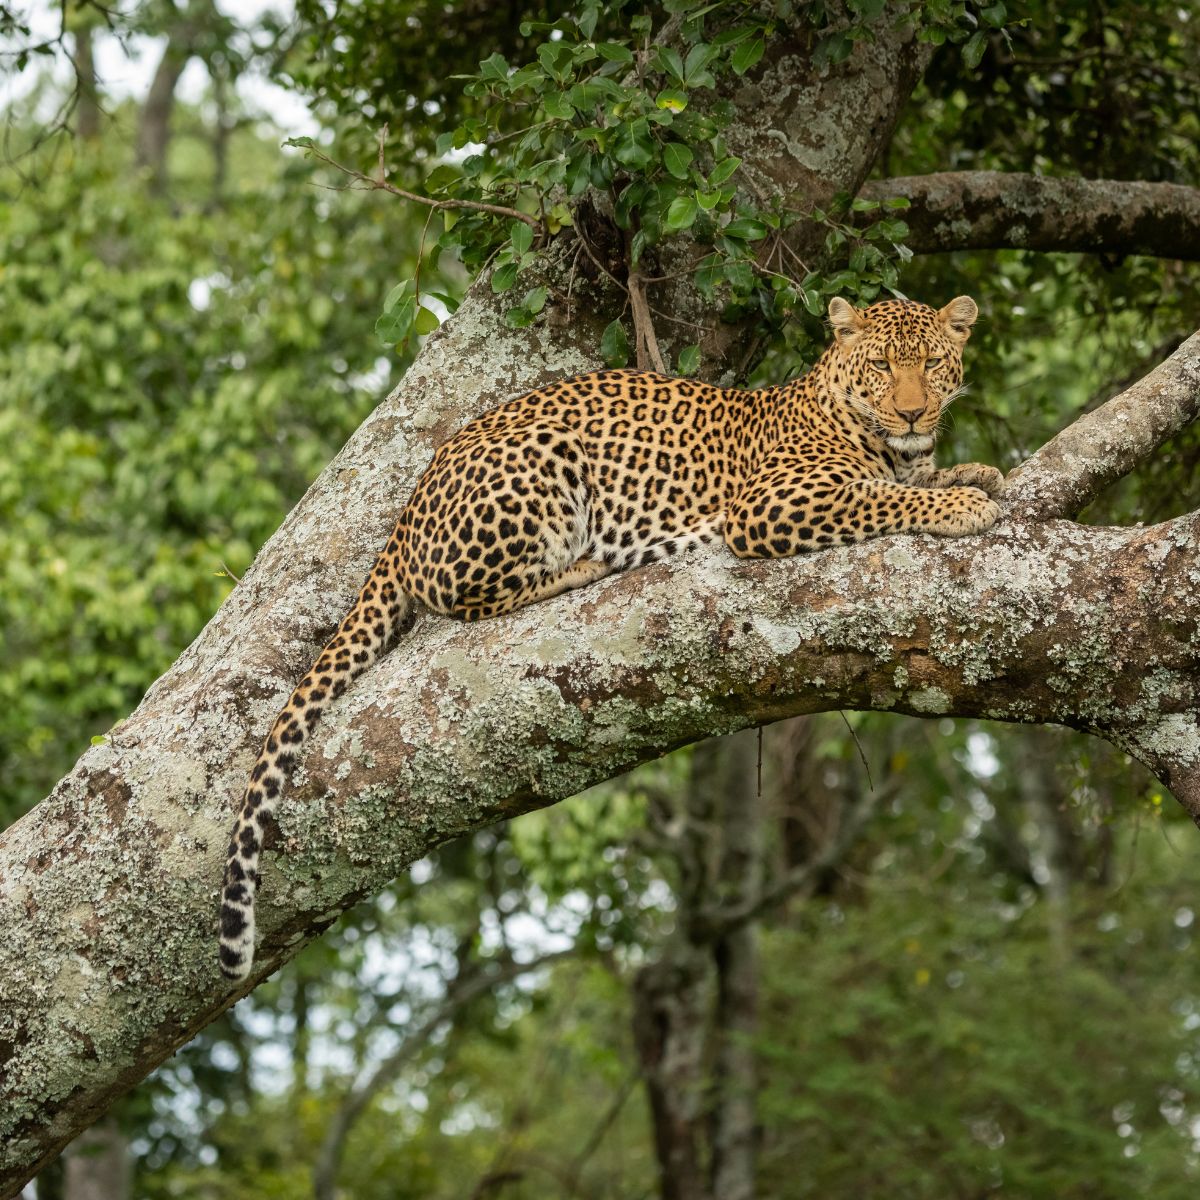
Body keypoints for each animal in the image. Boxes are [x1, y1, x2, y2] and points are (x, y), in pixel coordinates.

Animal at [218, 295, 1003, 979]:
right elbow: (882, 497)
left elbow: (911, 478)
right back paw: (594, 562)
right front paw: (962, 502)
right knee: (469, 596)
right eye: (881, 366)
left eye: (934, 362)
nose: (912, 410)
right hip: (541, 468)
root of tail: (408, 507)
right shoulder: (770, 505)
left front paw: (970, 468)